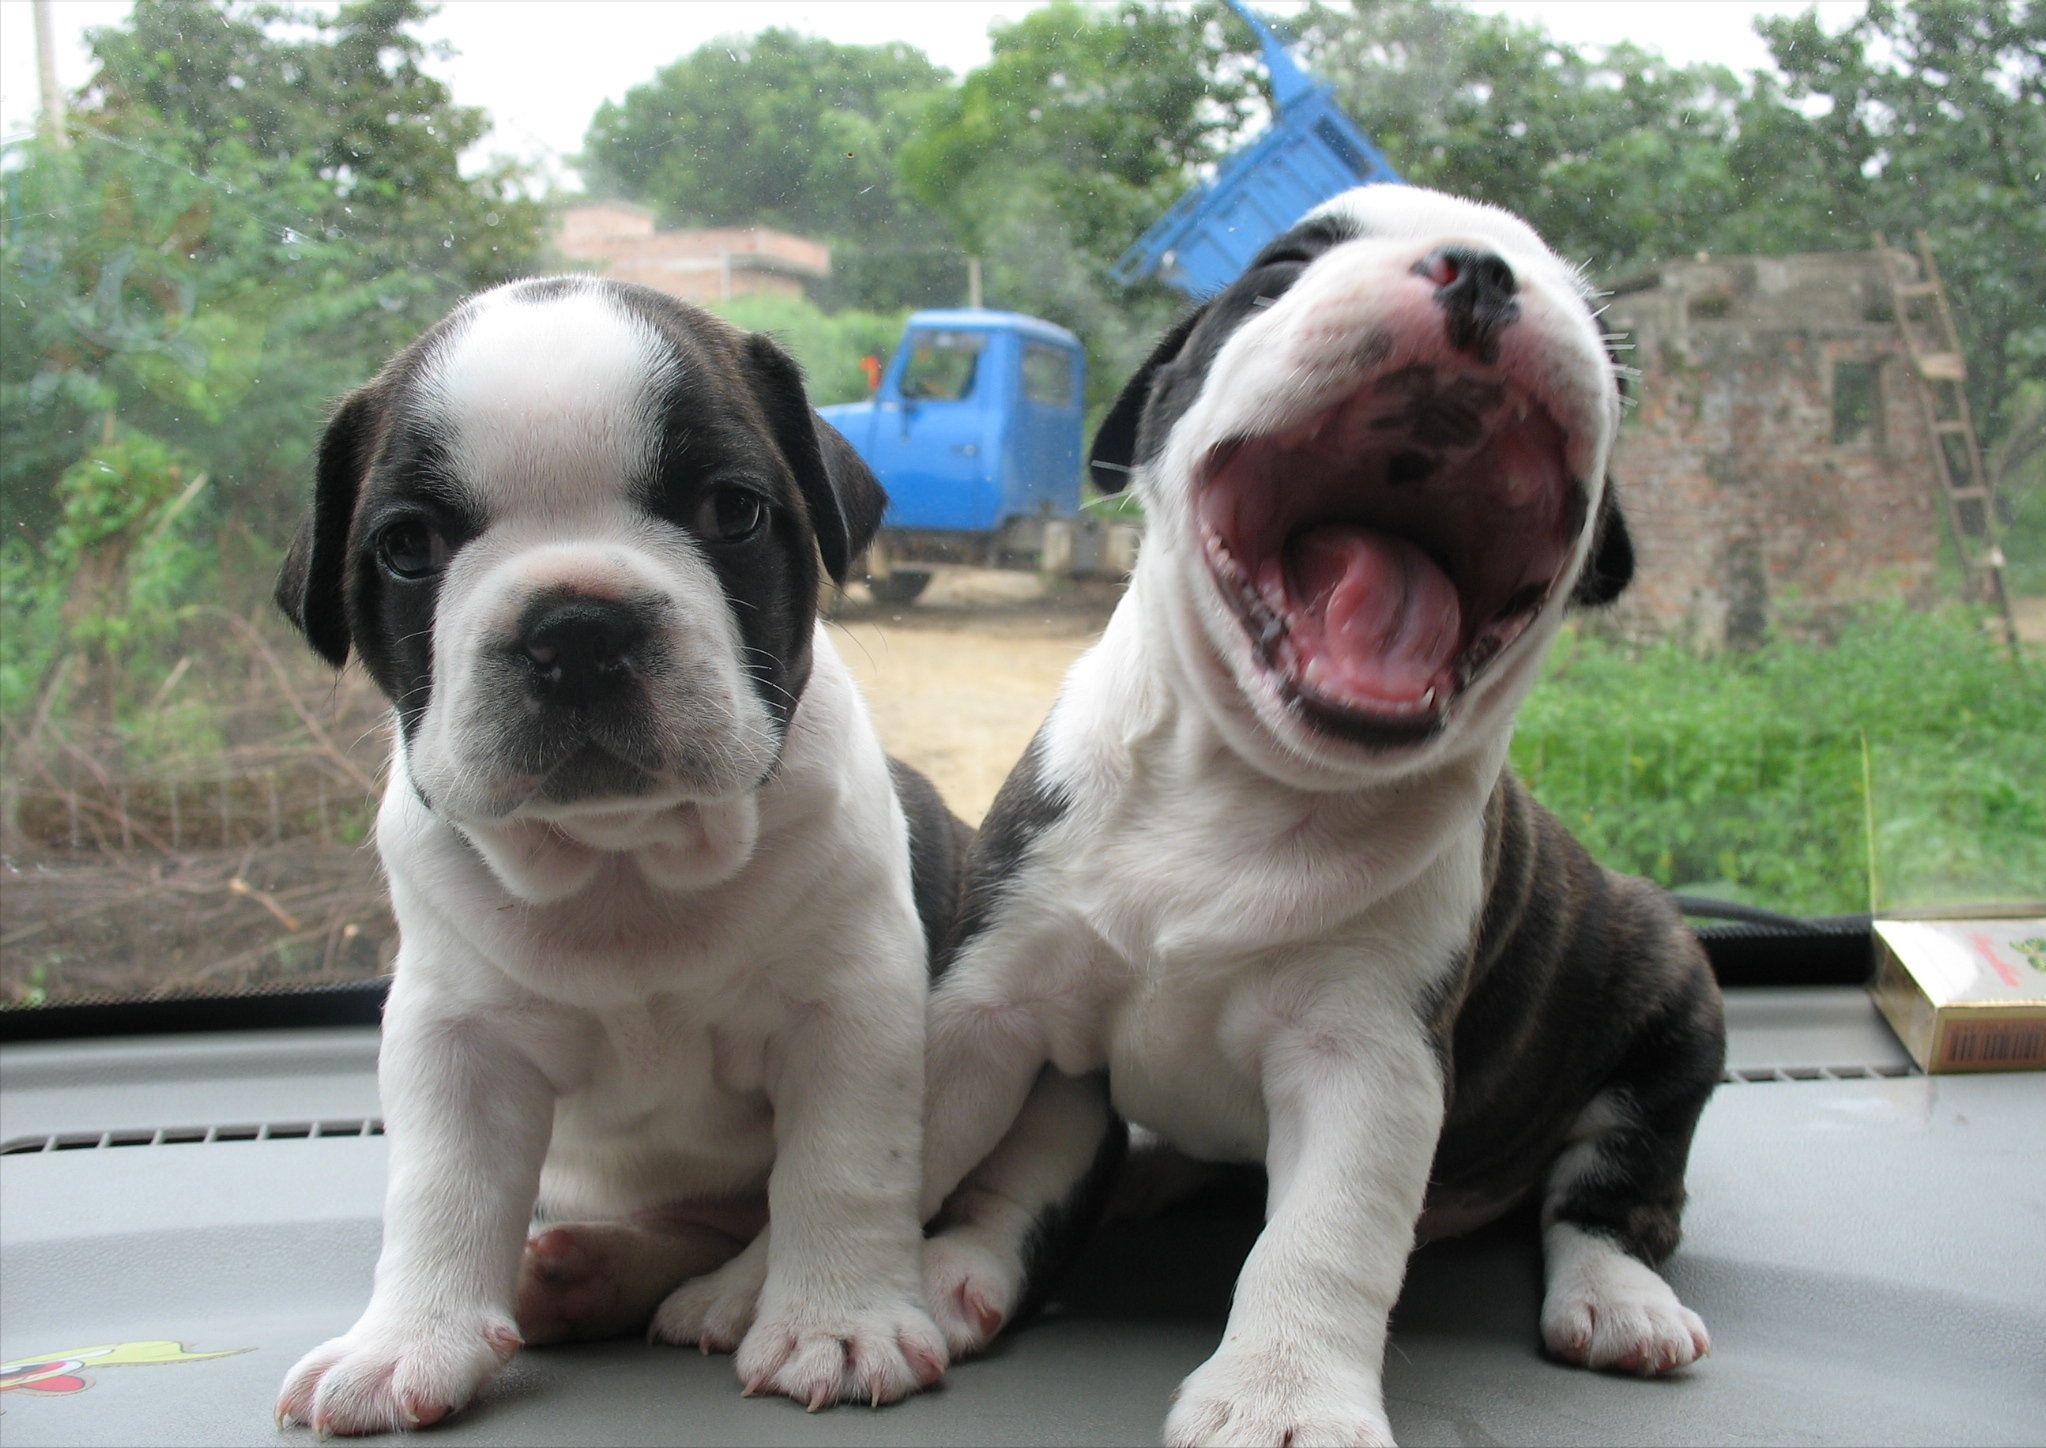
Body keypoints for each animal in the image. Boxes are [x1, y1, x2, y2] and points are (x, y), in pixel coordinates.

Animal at [272, 278, 965, 1431]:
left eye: (734, 511)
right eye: (407, 545)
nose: (577, 625)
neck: (624, 861)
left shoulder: (849, 1005)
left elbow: (841, 1164)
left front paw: (837, 1319)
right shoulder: (456, 1036)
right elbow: (441, 1186)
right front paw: (407, 1340)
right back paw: (572, 1273)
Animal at [912, 187, 1726, 1439]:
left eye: (1604, 334)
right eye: (1284, 268)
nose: (1483, 270)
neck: (1250, 774)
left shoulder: (1366, 1058)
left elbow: (1324, 1234)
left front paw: (1281, 1391)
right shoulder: (992, 997)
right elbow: (915, 1139)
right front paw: (794, 1287)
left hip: (1669, 988)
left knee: (1609, 1187)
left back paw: (1619, 1298)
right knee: (1034, 1179)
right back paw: (979, 1261)